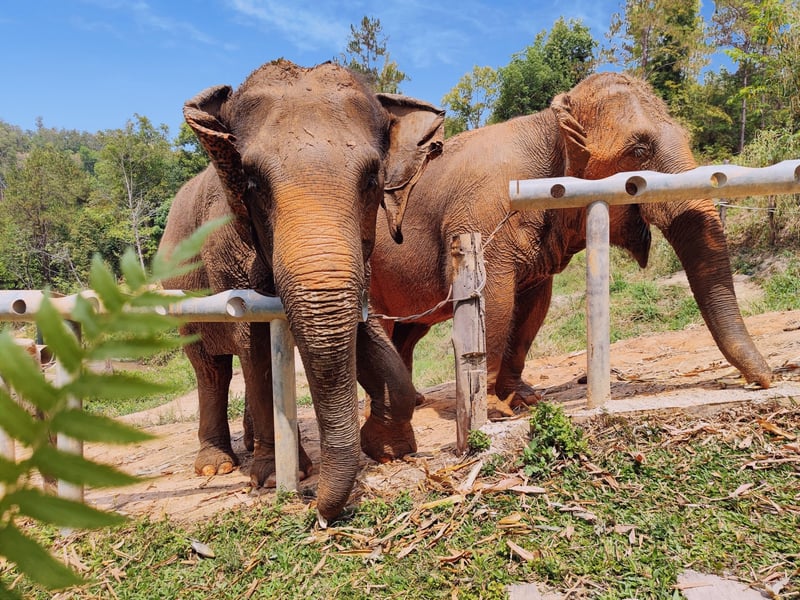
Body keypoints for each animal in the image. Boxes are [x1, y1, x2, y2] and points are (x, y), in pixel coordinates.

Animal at [156, 58, 444, 524]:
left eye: (371, 179)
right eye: (252, 183)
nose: (317, 510)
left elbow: (362, 332)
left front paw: (389, 450)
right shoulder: (229, 254)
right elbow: (253, 345)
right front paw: (277, 476)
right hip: (180, 298)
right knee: (210, 368)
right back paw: (217, 465)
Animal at [370, 71, 776, 412]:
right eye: (639, 151)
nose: (767, 379)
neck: (549, 125)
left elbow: (535, 306)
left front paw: (524, 398)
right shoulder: (481, 218)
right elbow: (495, 300)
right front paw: (496, 409)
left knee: (410, 332)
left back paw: (415, 401)